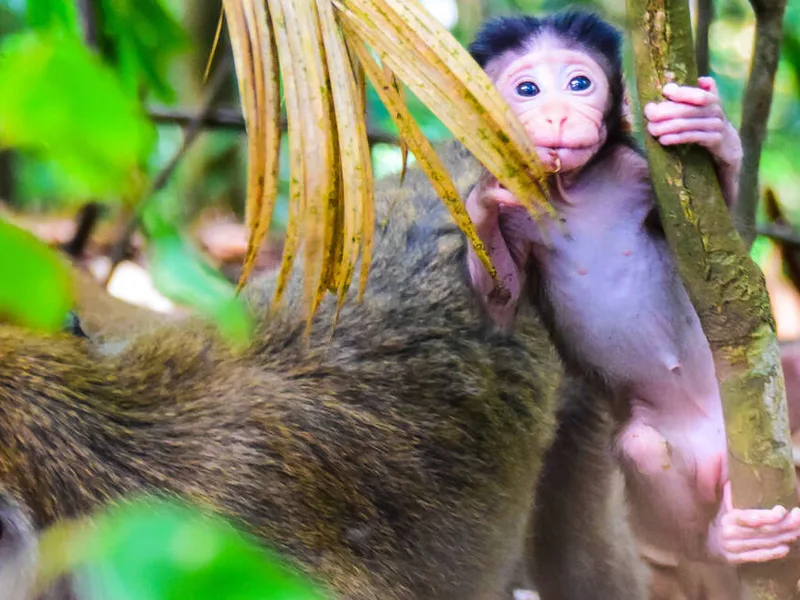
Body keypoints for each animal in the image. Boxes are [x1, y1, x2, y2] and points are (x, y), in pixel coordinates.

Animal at [463, 10, 800, 599]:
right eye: (527, 90)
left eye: (580, 83)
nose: (557, 114)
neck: (573, 191)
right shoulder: (519, 214)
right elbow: (500, 305)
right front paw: (482, 192)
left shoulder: (638, 173)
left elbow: (720, 244)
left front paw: (710, 128)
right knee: (646, 451)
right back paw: (724, 539)